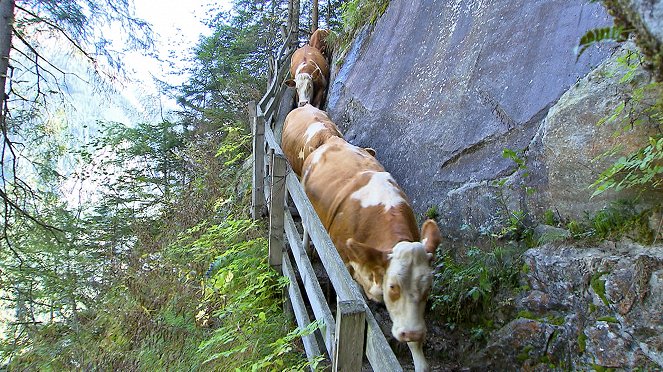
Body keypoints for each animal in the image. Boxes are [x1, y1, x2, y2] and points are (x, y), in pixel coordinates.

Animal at [300, 137, 440, 372]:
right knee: (305, 224)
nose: (412, 332)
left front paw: (419, 357)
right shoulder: (344, 268)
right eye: (393, 286)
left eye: (428, 288)